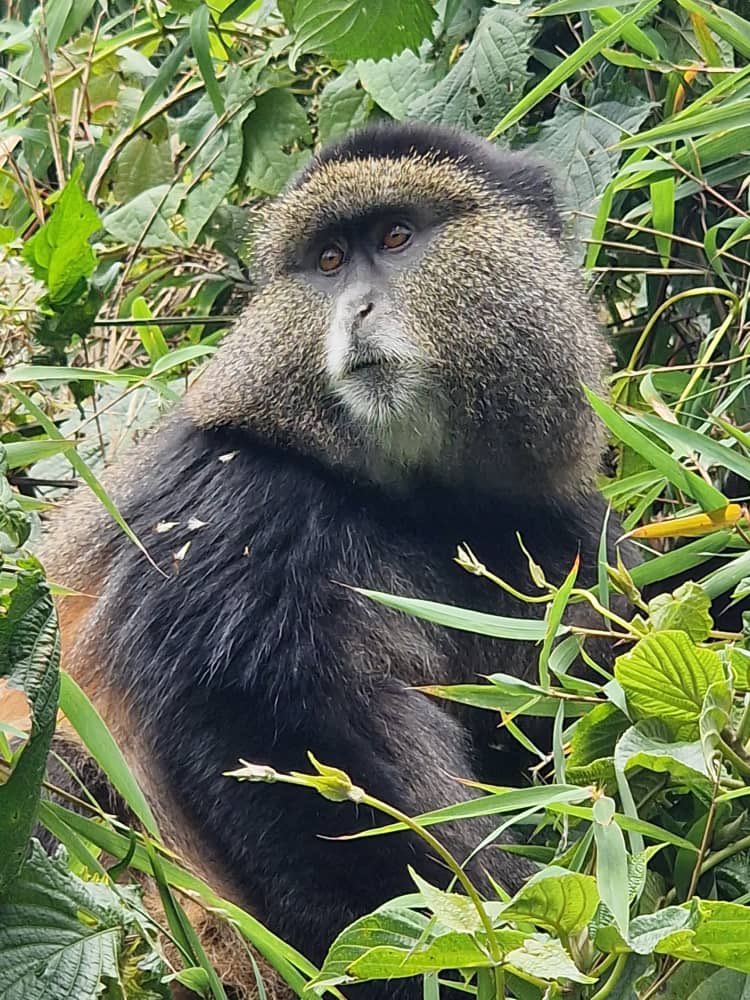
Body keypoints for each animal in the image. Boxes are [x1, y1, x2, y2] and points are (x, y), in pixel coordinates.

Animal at [32, 122, 623, 998]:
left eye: (396, 237)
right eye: (330, 261)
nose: (358, 309)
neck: (413, 499)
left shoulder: (564, 534)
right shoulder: (239, 512)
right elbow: (280, 753)